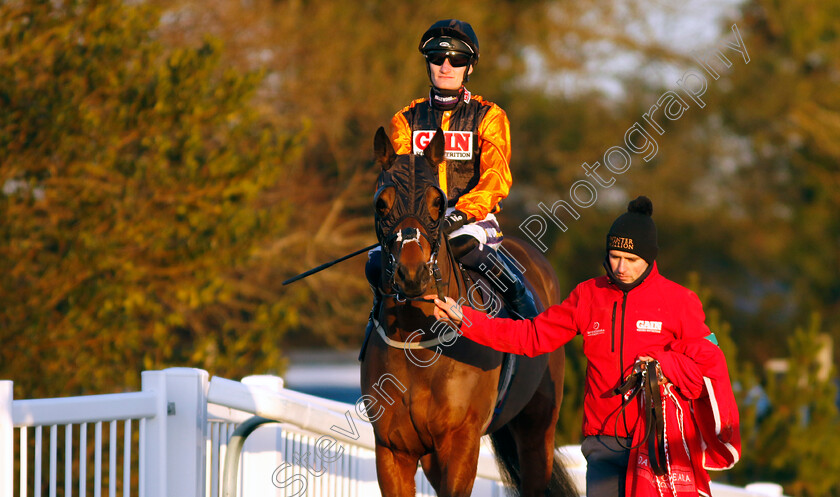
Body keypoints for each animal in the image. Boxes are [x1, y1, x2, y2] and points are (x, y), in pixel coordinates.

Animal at [360, 126, 576, 494]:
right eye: (381, 203)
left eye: (437, 202)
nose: (411, 274)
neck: (418, 340)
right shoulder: (393, 449)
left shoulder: (460, 442)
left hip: (537, 429)